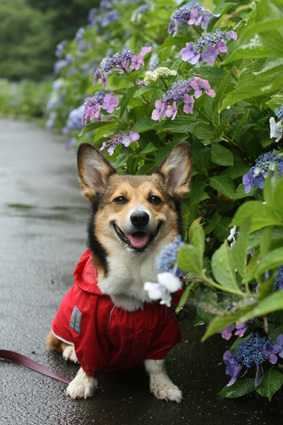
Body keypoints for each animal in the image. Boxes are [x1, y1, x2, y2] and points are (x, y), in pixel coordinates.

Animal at [47, 142, 193, 400]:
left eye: (154, 199)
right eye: (120, 199)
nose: (139, 217)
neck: (134, 266)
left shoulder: (165, 329)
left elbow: (157, 364)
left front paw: (164, 386)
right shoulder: (89, 328)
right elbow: (89, 359)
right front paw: (83, 383)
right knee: (62, 341)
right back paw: (71, 351)